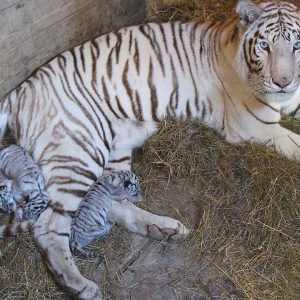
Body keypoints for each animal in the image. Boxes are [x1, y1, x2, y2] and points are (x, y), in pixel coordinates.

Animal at [0, 0, 300, 298]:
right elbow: (295, 143)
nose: (283, 82)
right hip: (78, 152)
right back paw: (78, 284)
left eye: (297, 45)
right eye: (264, 45)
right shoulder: (252, 125)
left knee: (110, 199)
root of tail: (19, 90)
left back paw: (162, 228)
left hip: (113, 149)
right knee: (48, 226)